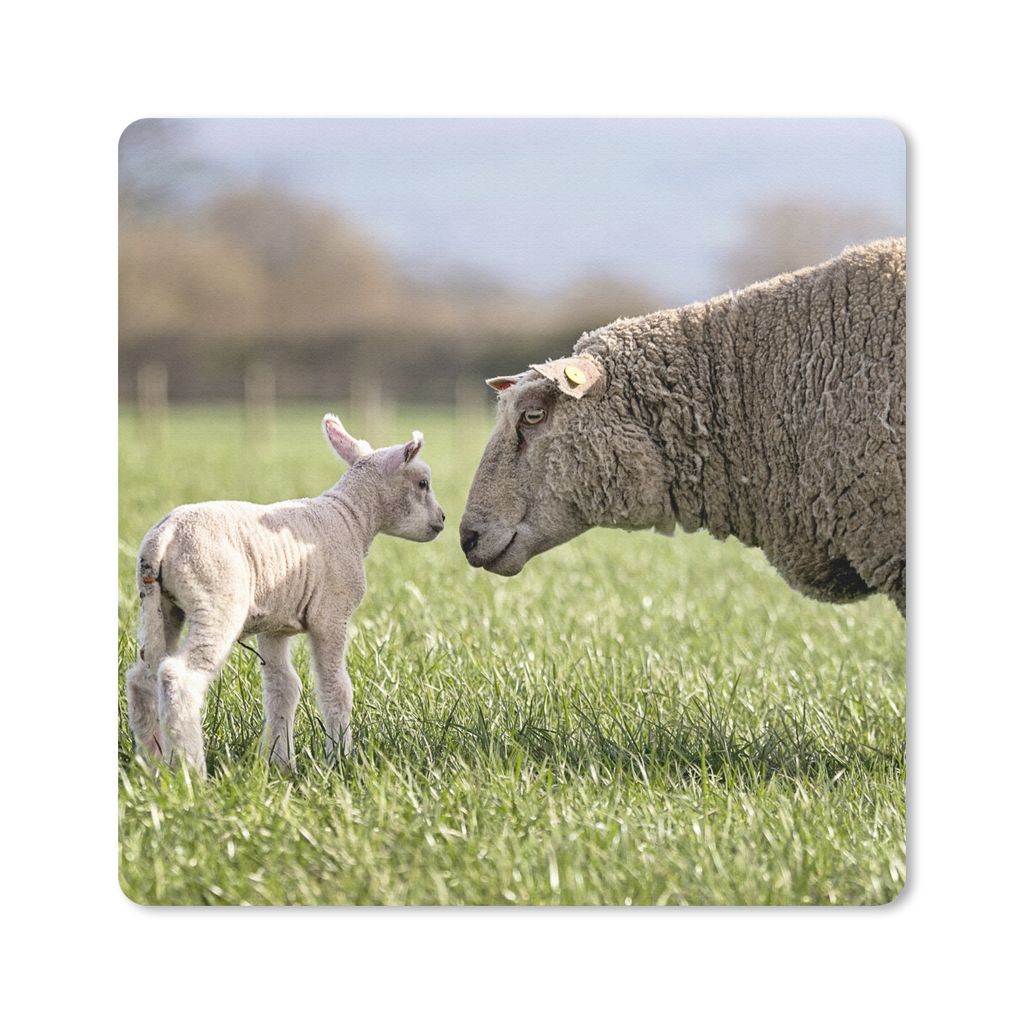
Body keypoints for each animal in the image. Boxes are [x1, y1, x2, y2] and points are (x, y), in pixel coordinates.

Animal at [124, 415, 446, 775]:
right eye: (423, 483)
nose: (442, 519)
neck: (352, 518)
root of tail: (164, 536)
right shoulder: (331, 615)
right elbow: (335, 688)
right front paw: (340, 759)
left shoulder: (274, 625)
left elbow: (284, 688)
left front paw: (280, 763)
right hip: (216, 599)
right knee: (178, 677)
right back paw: (191, 770)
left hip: (159, 605)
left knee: (142, 677)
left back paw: (151, 764)